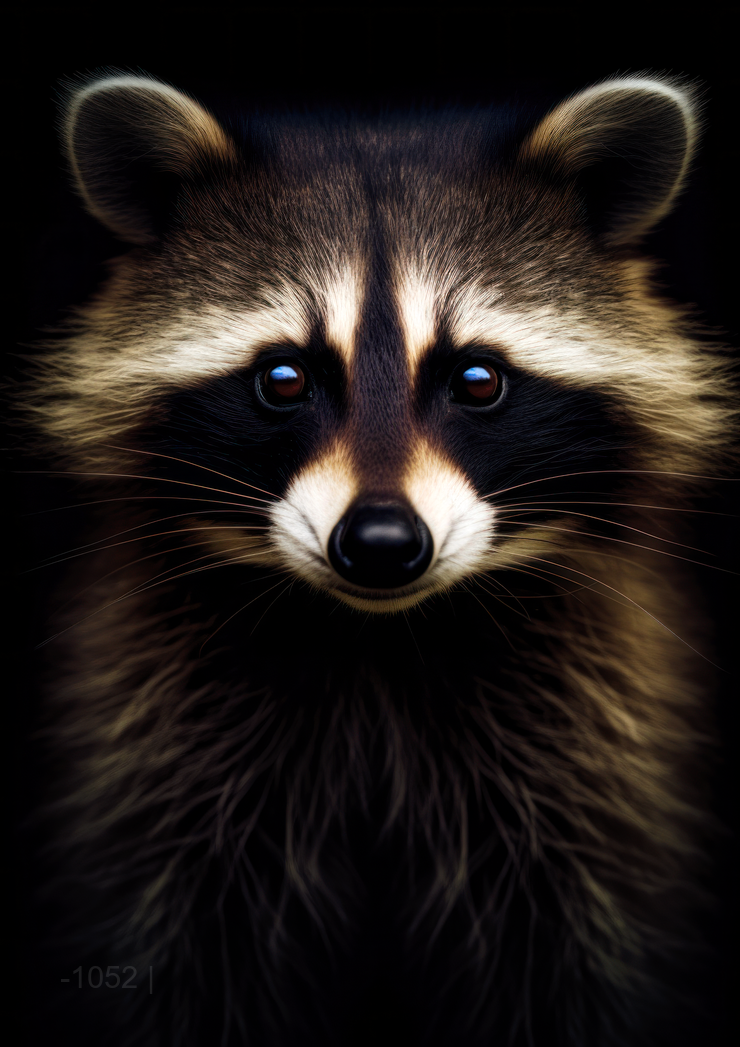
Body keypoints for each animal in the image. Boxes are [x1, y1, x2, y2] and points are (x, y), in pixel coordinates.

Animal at [24, 72, 733, 1046]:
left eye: (477, 379)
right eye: (284, 378)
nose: (383, 545)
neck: (378, 643)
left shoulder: (591, 743)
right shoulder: (160, 739)